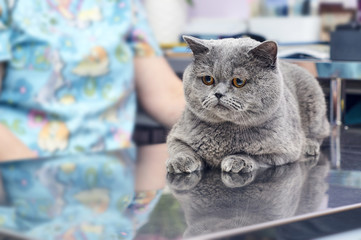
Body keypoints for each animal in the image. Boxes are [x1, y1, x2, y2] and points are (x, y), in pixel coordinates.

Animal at [166, 35, 330, 172]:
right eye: (208, 79)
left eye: (239, 81)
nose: (218, 94)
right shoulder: (176, 134)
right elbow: (181, 148)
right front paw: (180, 161)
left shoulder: (285, 151)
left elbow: (255, 155)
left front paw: (238, 160)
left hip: (314, 105)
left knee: (320, 133)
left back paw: (309, 145)